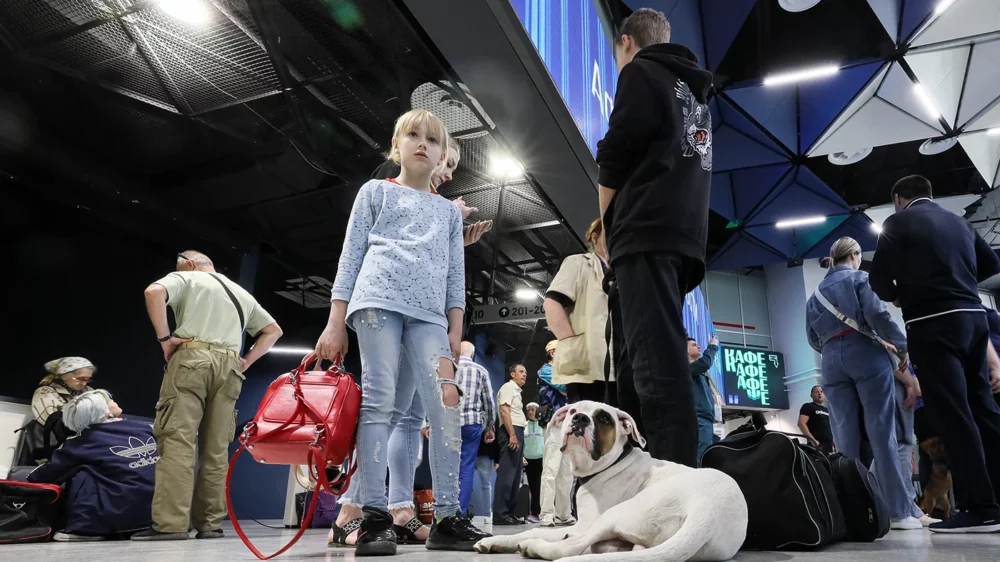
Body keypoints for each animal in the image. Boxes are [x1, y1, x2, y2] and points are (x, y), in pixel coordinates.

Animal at [472, 400, 748, 556]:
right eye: (573, 410)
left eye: (604, 418)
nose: (579, 418)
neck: (609, 465)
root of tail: (707, 511)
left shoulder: (584, 524)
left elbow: (529, 532)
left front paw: (498, 540)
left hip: (615, 514)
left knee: (568, 548)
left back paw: (538, 547)